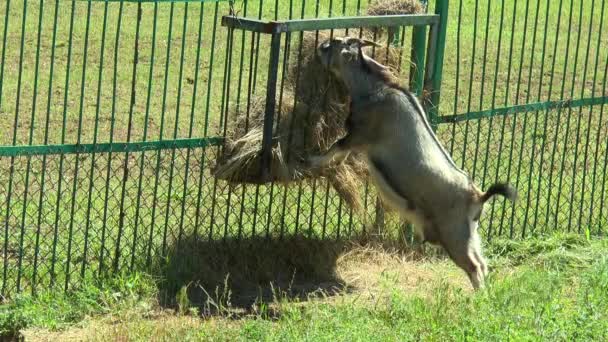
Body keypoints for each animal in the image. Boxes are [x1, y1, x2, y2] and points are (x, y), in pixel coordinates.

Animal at [308, 36, 516, 288]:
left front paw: (310, 160)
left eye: (336, 43)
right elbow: (339, 155)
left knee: (474, 266)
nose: (320, 48)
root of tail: (478, 196)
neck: (378, 88)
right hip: (471, 234)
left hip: (454, 236)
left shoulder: (358, 135)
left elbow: (334, 148)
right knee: (483, 263)